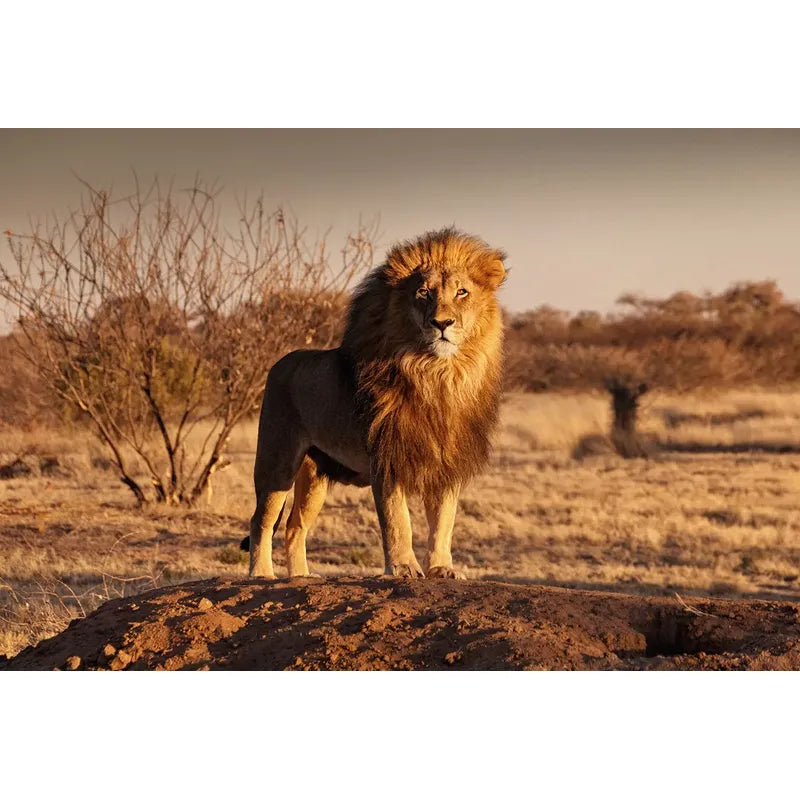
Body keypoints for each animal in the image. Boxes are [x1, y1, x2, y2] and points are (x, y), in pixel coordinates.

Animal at [243, 227, 507, 579]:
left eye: (462, 292)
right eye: (423, 293)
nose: (442, 323)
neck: (438, 376)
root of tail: (280, 362)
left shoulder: (446, 464)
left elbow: (443, 523)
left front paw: (442, 568)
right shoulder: (386, 458)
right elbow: (398, 520)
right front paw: (404, 567)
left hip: (314, 476)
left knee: (294, 526)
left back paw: (301, 576)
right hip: (277, 460)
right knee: (262, 519)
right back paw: (261, 574)